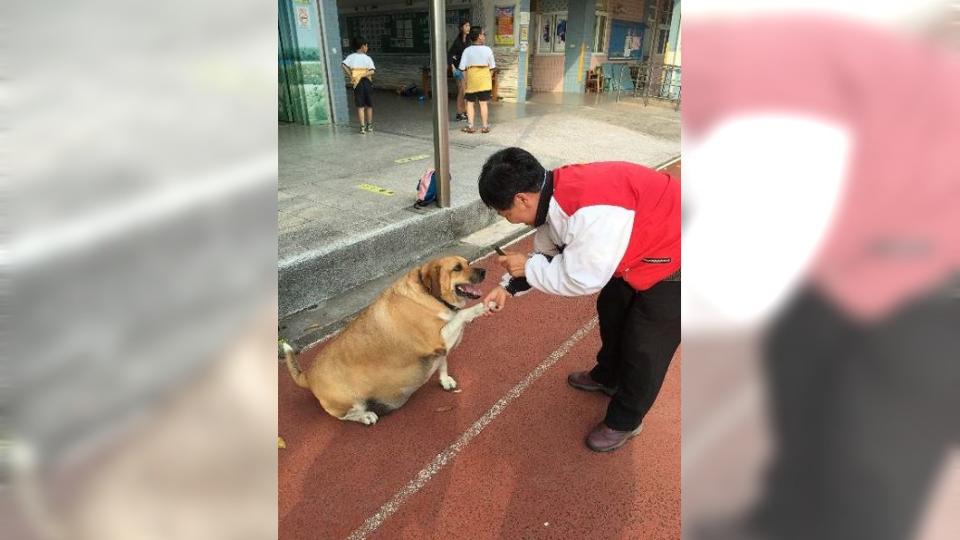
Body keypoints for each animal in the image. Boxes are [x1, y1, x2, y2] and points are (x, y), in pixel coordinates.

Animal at [278, 255, 488, 424]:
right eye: (457, 268)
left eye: (468, 262)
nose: (484, 271)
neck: (429, 295)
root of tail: (308, 376)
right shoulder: (438, 340)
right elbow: (461, 315)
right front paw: (481, 308)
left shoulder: (441, 348)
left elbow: (443, 362)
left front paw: (445, 381)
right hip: (348, 402)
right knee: (346, 416)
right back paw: (366, 416)